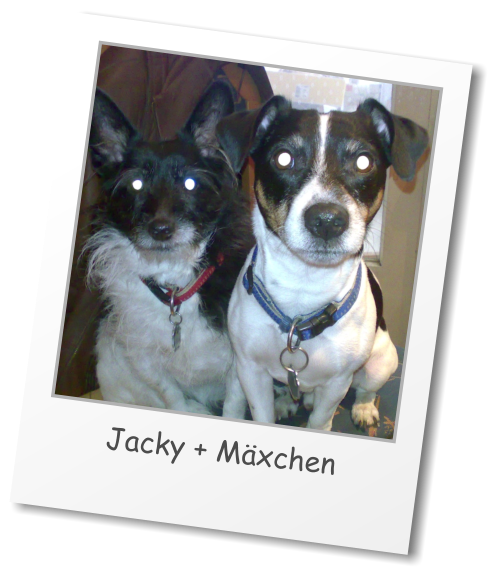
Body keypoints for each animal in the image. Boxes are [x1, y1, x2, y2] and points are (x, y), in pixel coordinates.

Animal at [85, 81, 253, 415]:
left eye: (190, 183)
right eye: (135, 184)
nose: (161, 230)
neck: (176, 286)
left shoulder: (241, 366)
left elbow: (234, 406)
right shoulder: (146, 363)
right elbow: (173, 397)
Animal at [216, 95, 428, 430]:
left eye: (364, 162)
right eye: (284, 158)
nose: (327, 220)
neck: (303, 287)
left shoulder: (337, 383)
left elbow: (320, 420)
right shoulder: (249, 370)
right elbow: (257, 411)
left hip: (382, 362)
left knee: (367, 388)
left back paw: (363, 408)